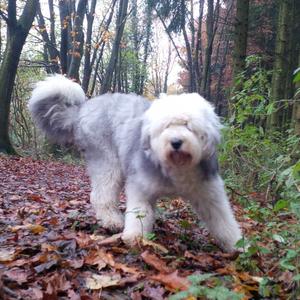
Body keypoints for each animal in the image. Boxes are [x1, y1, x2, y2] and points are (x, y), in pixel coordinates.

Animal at [28, 74, 241, 251]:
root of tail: (83, 109)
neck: (176, 166)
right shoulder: (141, 186)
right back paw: (112, 221)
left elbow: (222, 218)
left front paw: (238, 245)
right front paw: (135, 238)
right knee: (101, 195)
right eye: (166, 126)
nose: (176, 142)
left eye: (188, 126)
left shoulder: (208, 190)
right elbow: (140, 212)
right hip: (107, 161)